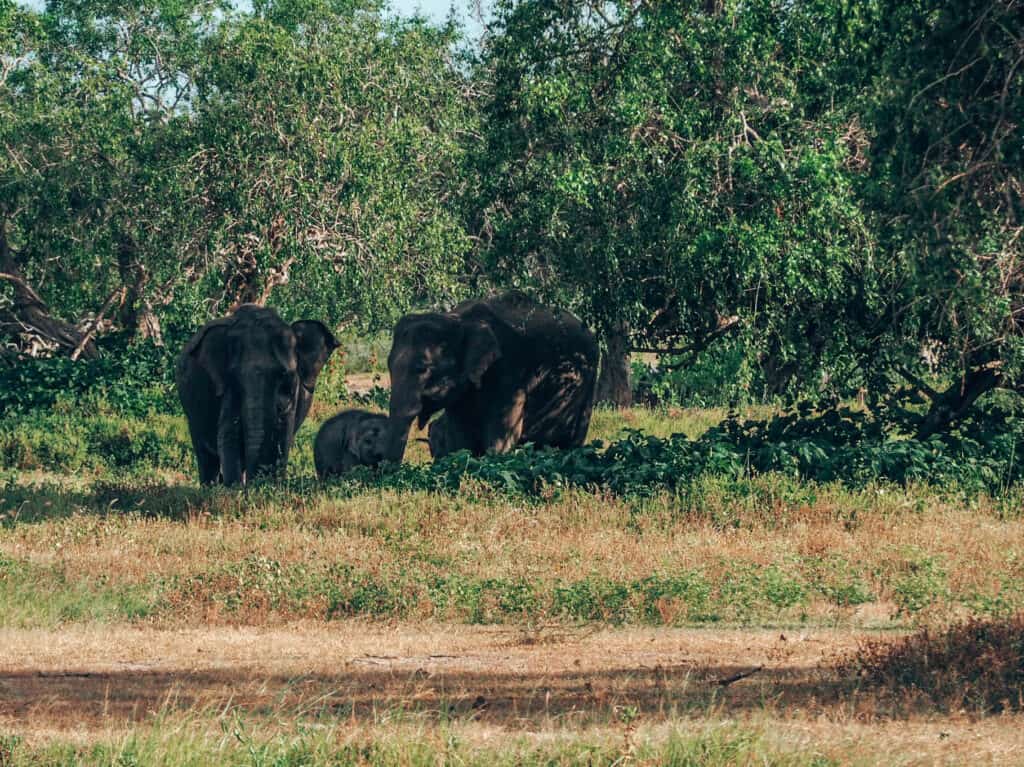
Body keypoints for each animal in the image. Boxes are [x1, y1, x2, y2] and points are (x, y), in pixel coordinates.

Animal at [174, 301, 337, 485]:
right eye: (234, 376)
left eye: (284, 375)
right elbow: (228, 433)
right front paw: (235, 488)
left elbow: (284, 435)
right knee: (205, 456)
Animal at [382, 290, 598, 460]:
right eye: (389, 366)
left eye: (423, 368)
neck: (458, 319)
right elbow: (460, 436)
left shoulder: (512, 372)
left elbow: (502, 436)